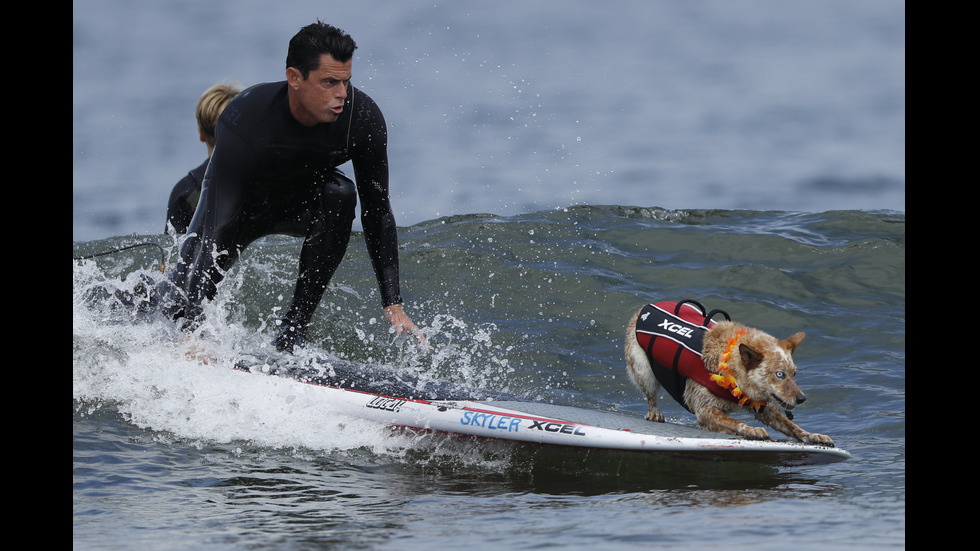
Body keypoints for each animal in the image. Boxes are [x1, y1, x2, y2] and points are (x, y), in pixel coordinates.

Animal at [628, 300, 836, 446]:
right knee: (650, 394)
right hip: (643, 370)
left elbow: (791, 426)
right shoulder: (705, 410)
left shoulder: (764, 408)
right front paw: (752, 429)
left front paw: (813, 435)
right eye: (779, 374)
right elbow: (734, 421)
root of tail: (645, 308)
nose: (802, 398)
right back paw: (654, 413)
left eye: (794, 374)